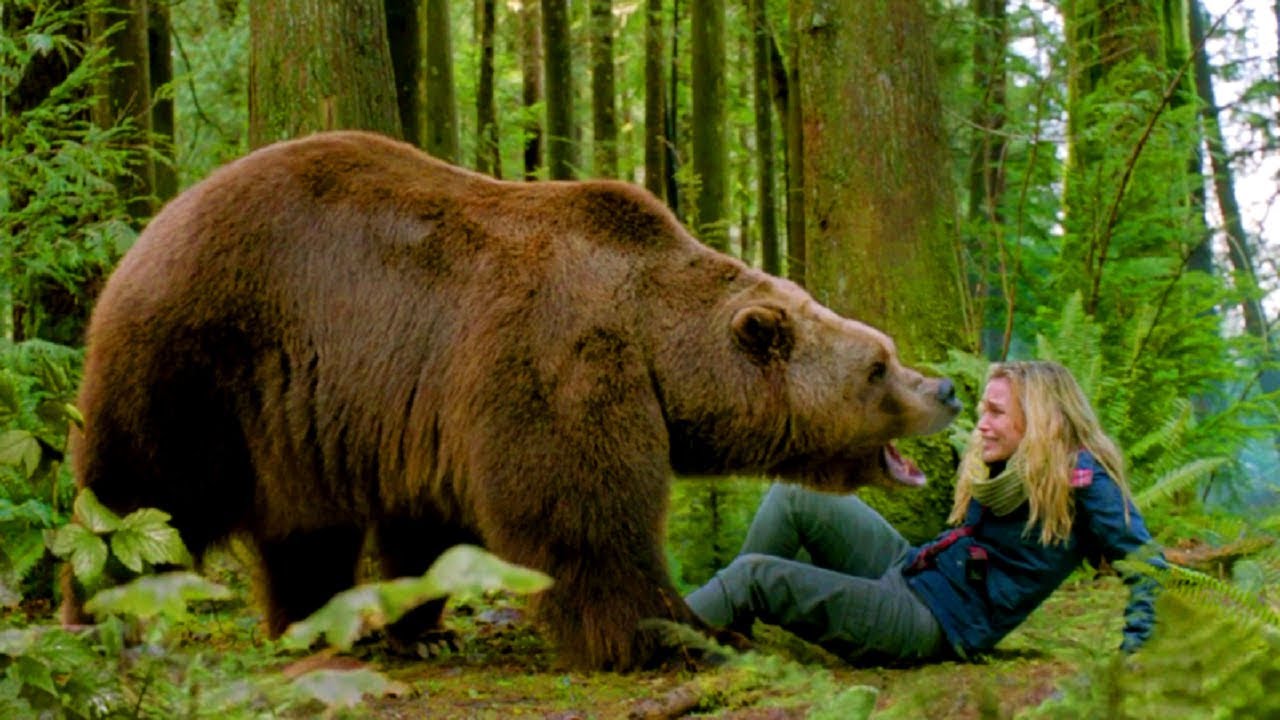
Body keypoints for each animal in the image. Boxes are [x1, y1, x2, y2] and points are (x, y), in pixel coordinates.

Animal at [62, 128, 962, 666]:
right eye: (878, 366)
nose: (946, 387)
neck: (654, 338)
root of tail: (154, 221)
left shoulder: (431, 408)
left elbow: (427, 530)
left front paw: (416, 628)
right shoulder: (558, 361)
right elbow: (584, 519)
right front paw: (676, 631)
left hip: (296, 409)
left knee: (305, 530)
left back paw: (316, 626)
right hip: (195, 358)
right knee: (136, 497)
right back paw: (102, 617)